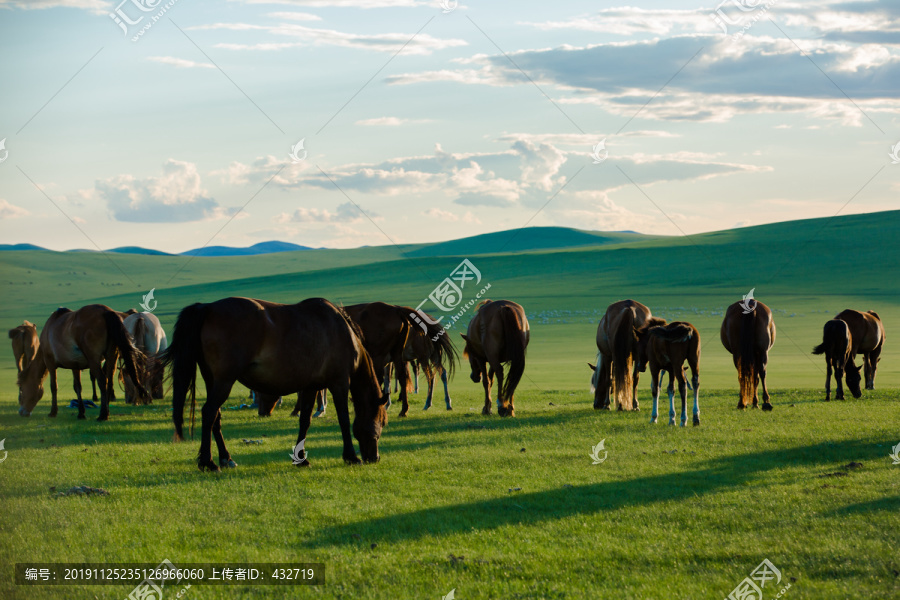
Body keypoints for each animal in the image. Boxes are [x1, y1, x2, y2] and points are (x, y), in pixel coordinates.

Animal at [14, 308, 145, 420]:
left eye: (22, 391)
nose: (21, 412)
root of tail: (106, 312)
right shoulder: (75, 365)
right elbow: (77, 387)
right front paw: (81, 413)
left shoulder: (50, 362)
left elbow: (54, 386)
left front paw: (53, 412)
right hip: (111, 355)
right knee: (109, 381)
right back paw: (106, 410)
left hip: (94, 359)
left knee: (102, 381)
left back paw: (102, 414)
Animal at [162, 298, 386, 472]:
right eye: (383, 422)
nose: (375, 458)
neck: (342, 331)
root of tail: (207, 307)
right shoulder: (339, 383)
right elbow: (344, 420)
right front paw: (351, 457)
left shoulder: (311, 386)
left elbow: (305, 421)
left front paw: (301, 458)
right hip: (224, 381)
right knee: (209, 413)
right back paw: (208, 462)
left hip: (213, 381)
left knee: (215, 416)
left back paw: (226, 459)